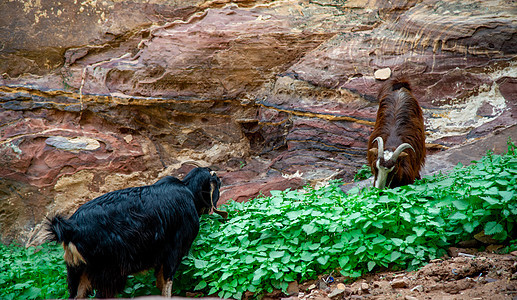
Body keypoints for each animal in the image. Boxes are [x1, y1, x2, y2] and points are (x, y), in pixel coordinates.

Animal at [48, 166, 224, 298]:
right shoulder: (175, 249)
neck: (188, 189)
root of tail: (70, 228)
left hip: (77, 270)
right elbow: (167, 283)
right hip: (108, 269)